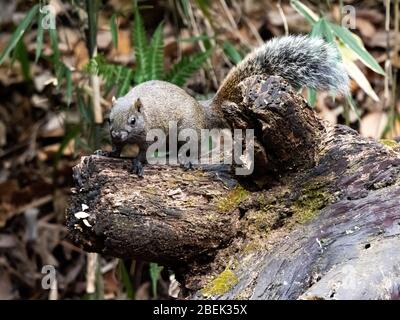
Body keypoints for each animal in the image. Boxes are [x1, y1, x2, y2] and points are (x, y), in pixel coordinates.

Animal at [104, 35, 348, 175]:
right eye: (108, 119)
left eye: (133, 120)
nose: (116, 134)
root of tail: (201, 110)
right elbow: (117, 149)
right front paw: (110, 152)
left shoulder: (150, 131)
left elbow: (144, 150)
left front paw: (137, 162)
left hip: (186, 129)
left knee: (196, 147)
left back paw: (186, 158)